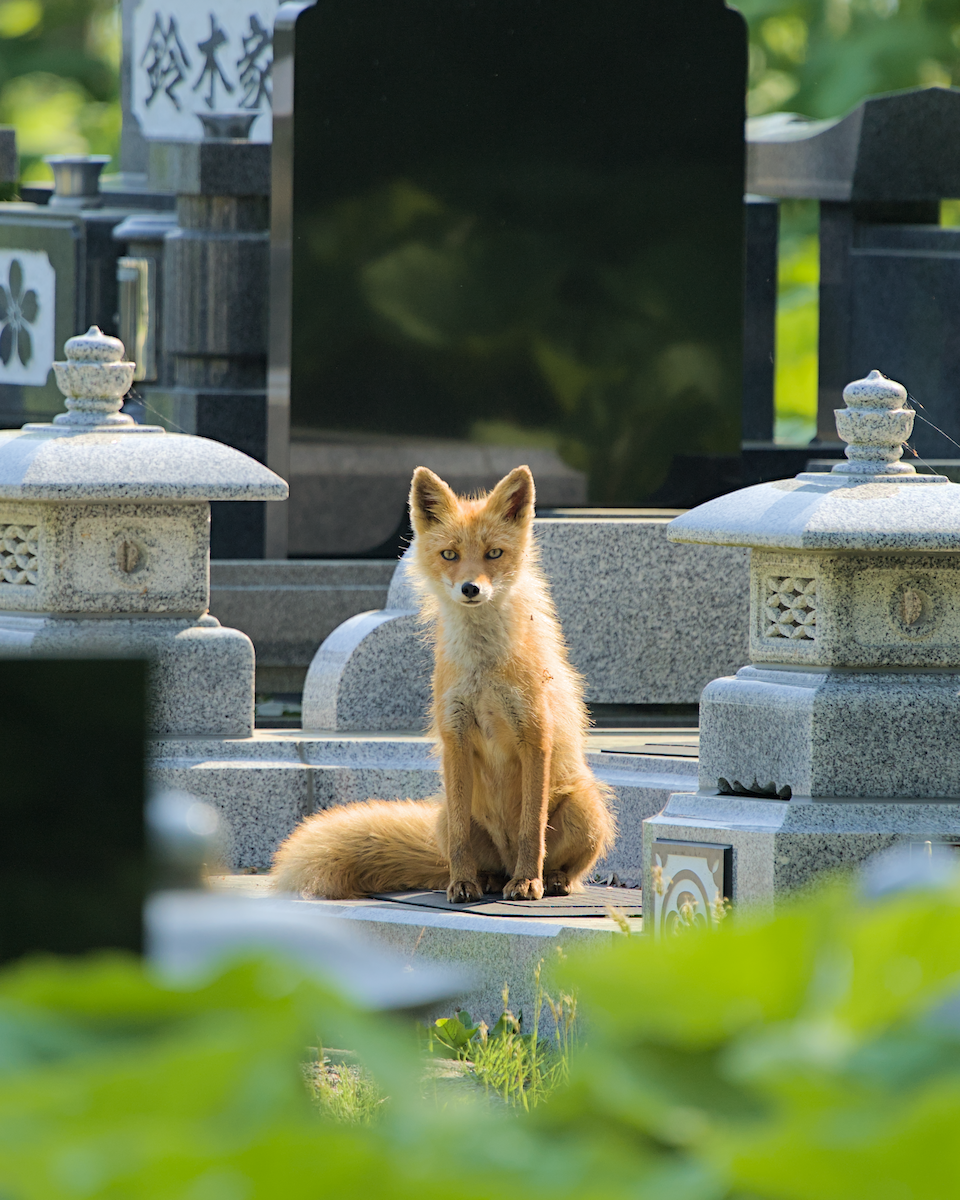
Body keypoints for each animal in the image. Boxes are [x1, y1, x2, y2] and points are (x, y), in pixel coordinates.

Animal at [271, 464, 616, 902]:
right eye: (449, 554)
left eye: (494, 553)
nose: (471, 588)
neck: (483, 670)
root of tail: (503, 862)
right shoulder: (456, 738)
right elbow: (459, 841)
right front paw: (463, 883)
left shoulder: (535, 737)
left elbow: (531, 829)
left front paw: (528, 882)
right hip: (443, 815)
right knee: (466, 851)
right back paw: (484, 880)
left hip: (586, 806)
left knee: (565, 866)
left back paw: (546, 879)